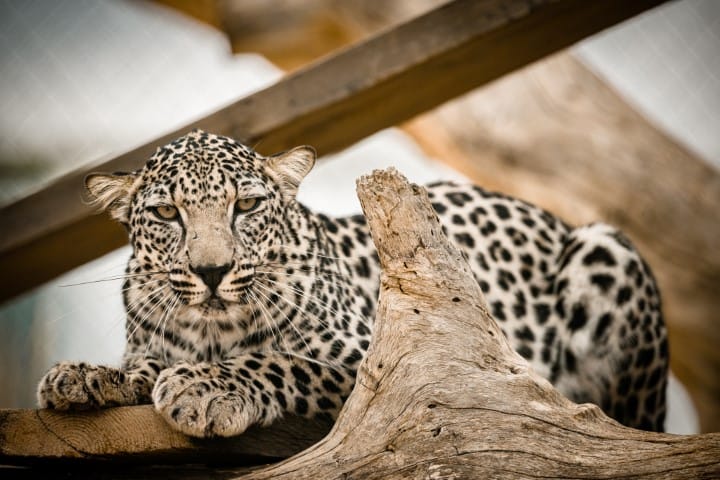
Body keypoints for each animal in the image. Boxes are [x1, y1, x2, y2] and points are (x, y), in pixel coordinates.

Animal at [38, 129, 668, 436]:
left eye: (246, 206)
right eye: (168, 214)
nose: (211, 272)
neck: (211, 333)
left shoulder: (381, 367)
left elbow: (281, 361)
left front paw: (206, 388)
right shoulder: (153, 343)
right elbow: (141, 366)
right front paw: (85, 376)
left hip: (606, 253)